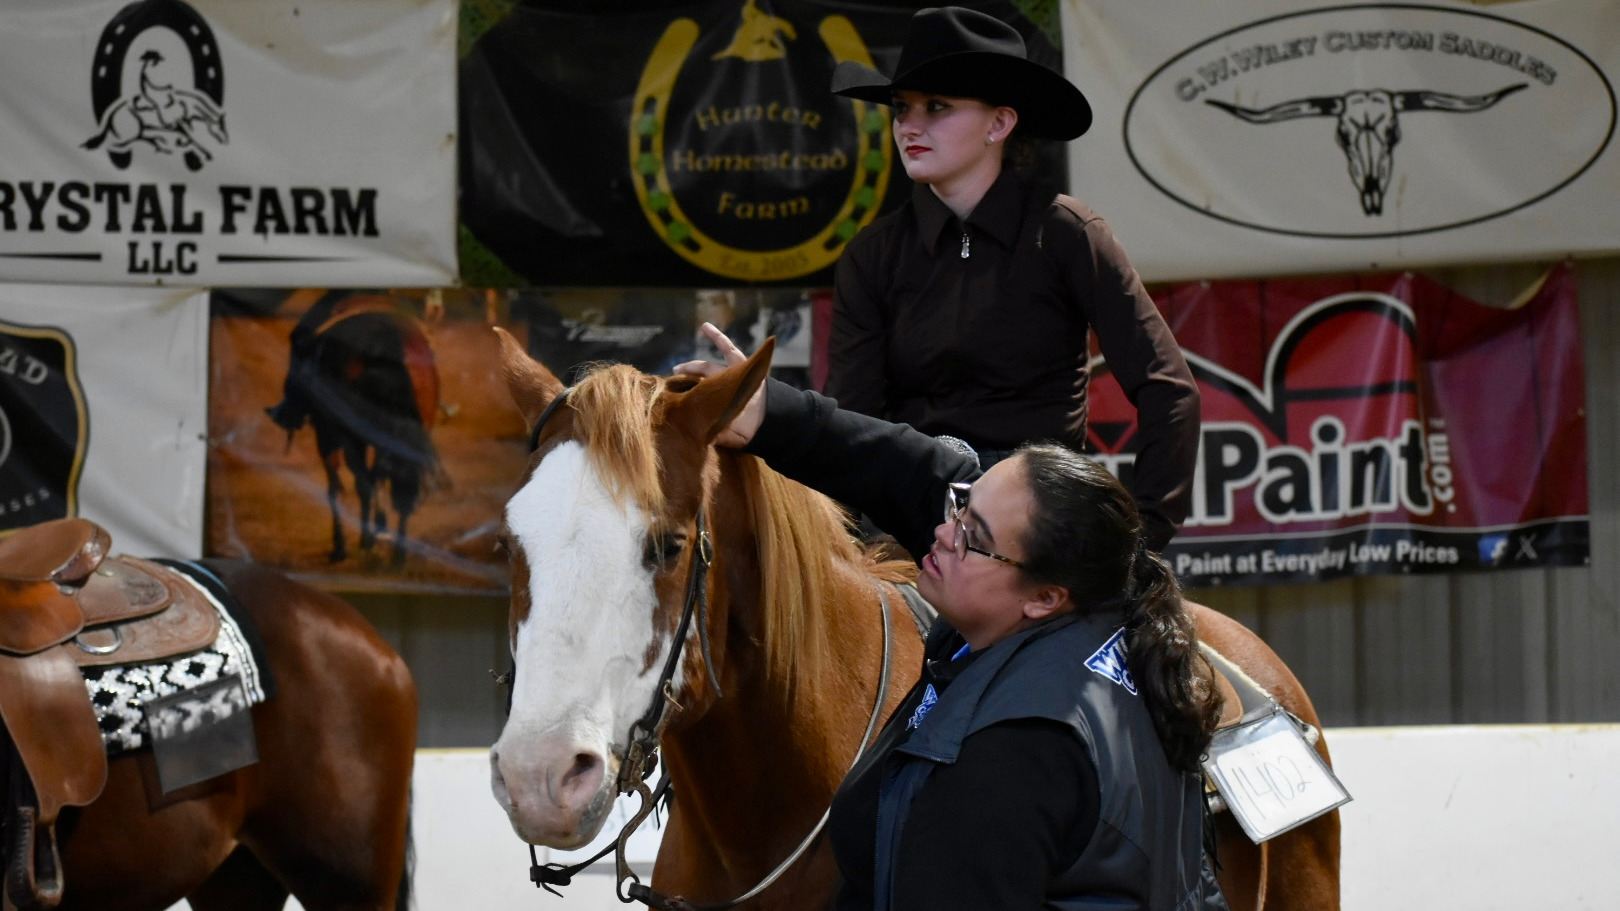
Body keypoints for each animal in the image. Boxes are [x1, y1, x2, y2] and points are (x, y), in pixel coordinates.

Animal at [267, 293, 445, 566]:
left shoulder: (328, 435)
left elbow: (336, 487)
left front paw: (342, 546)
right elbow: (379, 478)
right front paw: (379, 527)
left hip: (349, 437)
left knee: (363, 483)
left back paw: (365, 543)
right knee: (401, 489)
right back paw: (397, 554)